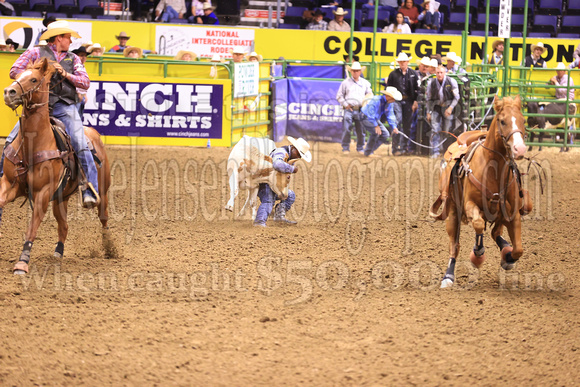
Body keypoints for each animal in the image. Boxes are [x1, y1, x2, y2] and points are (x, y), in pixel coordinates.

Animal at [1, 57, 112, 276]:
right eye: (18, 75)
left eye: (34, 79)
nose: (9, 92)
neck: (33, 144)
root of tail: (92, 132)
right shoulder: (10, 184)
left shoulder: (43, 193)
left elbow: (32, 227)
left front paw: (22, 263)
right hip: (61, 198)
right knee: (64, 226)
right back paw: (58, 253)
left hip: (102, 192)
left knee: (103, 218)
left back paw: (109, 247)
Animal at [428, 95, 532, 286]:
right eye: (502, 121)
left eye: (523, 120)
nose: (519, 149)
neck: (493, 171)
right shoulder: (470, 205)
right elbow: (477, 224)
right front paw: (477, 254)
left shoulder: (513, 214)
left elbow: (518, 249)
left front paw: (508, 258)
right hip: (453, 213)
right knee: (455, 246)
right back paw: (448, 276)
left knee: (495, 232)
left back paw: (504, 248)